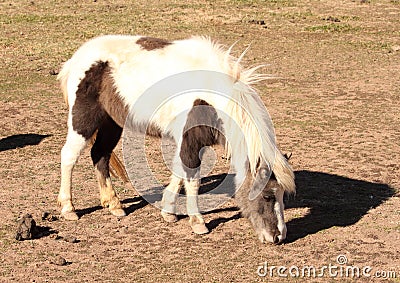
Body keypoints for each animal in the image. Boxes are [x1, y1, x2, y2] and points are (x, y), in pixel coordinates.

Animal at [56, 35, 296, 244]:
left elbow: (179, 173)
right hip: (83, 121)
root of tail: (76, 59)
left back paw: (114, 204)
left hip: (112, 124)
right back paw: (69, 208)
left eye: (283, 195)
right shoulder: (189, 141)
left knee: (100, 154)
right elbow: (192, 179)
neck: (210, 92)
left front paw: (168, 211)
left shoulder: (190, 142)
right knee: (69, 156)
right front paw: (197, 222)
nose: (278, 237)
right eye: (267, 196)